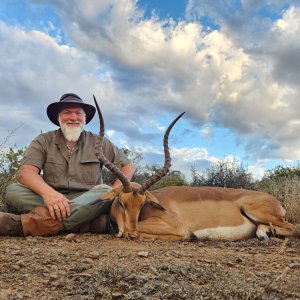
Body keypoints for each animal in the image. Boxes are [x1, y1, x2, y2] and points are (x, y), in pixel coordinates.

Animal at [94, 96, 300, 241]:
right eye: (122, 202)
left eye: (142, 203)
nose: (132, 234)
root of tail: (275, 201)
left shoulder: (175, 226)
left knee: (294, 228)